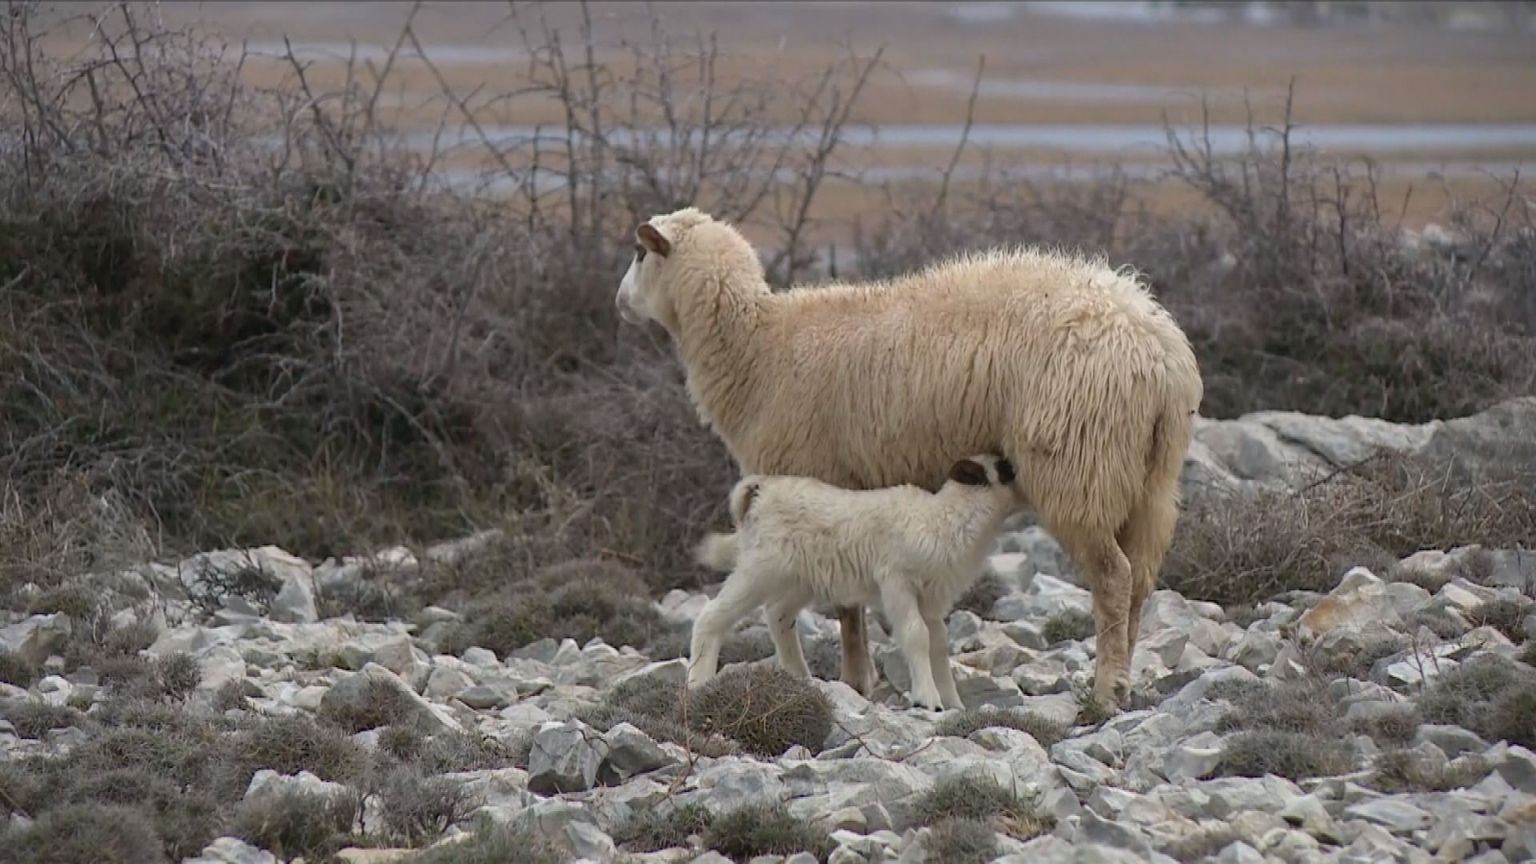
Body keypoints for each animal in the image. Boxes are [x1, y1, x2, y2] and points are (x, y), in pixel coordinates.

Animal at [688, 453, 1021, 710]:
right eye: (1004, 467)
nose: (1018, 467)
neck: (945, 516)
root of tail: (759, 489)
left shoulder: (932, 597)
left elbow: (938, 643)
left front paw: (952, 703)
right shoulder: (897, 582)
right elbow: (916, 635)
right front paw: (927, 700)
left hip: (800, 578)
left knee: (778, 615)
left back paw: (799, 679)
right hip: (760, 569)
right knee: (711, 617)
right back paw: (698, 684)